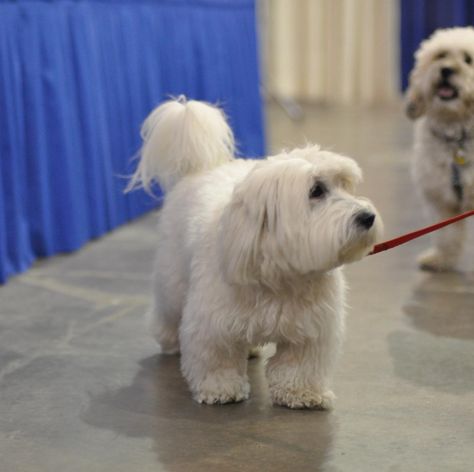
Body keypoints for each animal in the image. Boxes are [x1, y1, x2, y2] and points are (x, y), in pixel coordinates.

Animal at [128, 97, 384, 408]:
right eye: (316, 190)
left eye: (345, 186)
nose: (368, 216)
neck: (282, 273)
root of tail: (199, 170)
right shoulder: (212, 323)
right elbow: (217, 359)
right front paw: (220, 388)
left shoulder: (312, 328)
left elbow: (299, 365)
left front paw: (301, 392)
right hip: (172, 281)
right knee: (167, 313)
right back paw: (170, 341)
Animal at [406, 27, 474, 272]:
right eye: (441, 55)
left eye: (468, 59)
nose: (446, 70)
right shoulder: (442, 198)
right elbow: (447, 235)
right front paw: (441, 259)